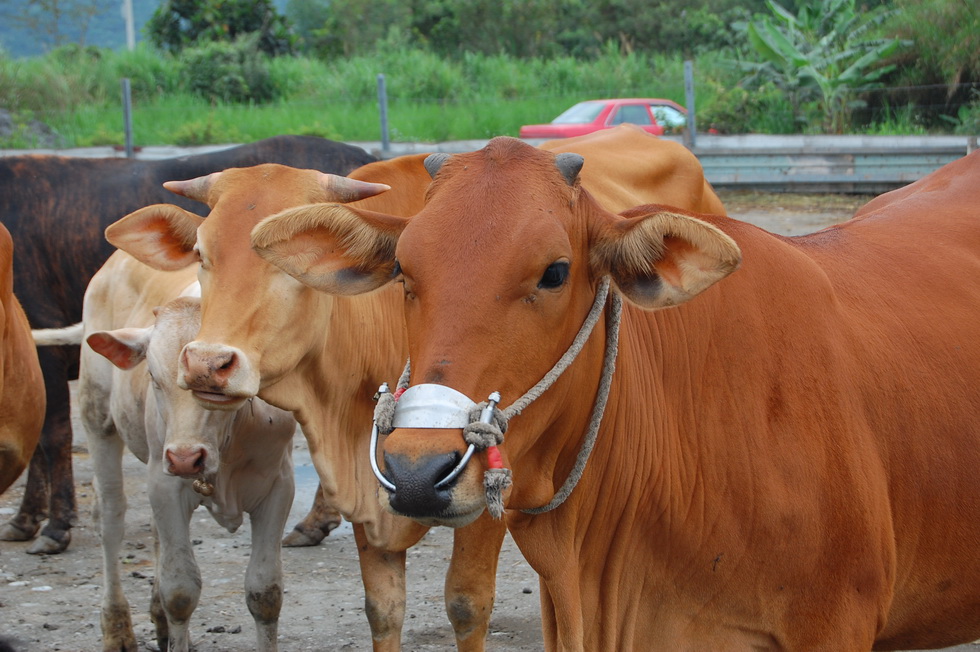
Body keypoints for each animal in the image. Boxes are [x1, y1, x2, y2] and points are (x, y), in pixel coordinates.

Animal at [76, 252, 294, 652]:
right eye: (153, 377)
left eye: (219, 381)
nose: (185, 458)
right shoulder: (165, 485)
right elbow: (179, 591)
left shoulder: (278, 486)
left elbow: (265, 592)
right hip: (96, 415)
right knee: (110, 518)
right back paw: (117, 629)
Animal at [107, 126, 732, 648]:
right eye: (201, 254)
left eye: (279, 260)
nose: (207, 364)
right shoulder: (373, 488)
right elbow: (382, 610)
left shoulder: (481, 493)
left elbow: (467, 605)